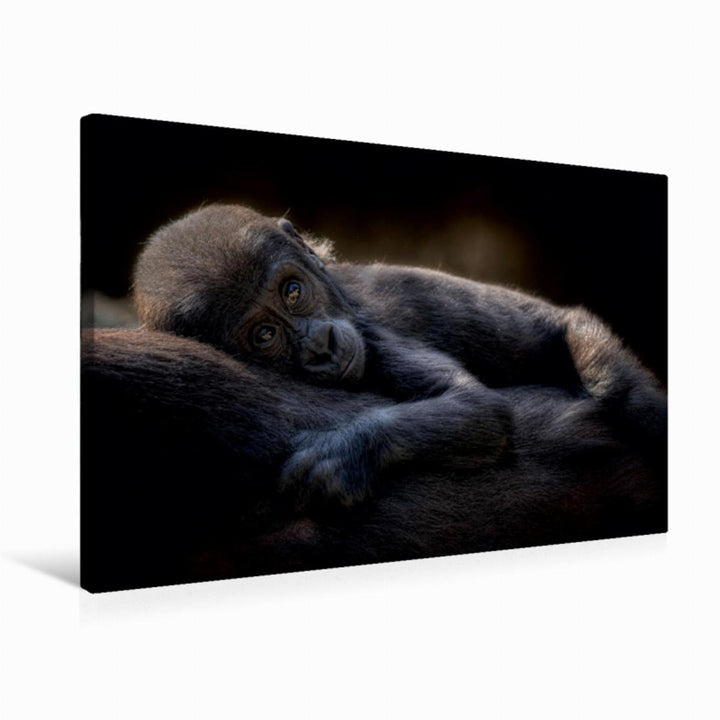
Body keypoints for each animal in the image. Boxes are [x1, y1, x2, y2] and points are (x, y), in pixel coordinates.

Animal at [132, 205, 666, 509]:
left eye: (292, 291)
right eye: (264, 335)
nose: (321, 345)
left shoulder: (371, 335)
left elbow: (475, 406)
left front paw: (348, 451)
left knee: (617, 390)